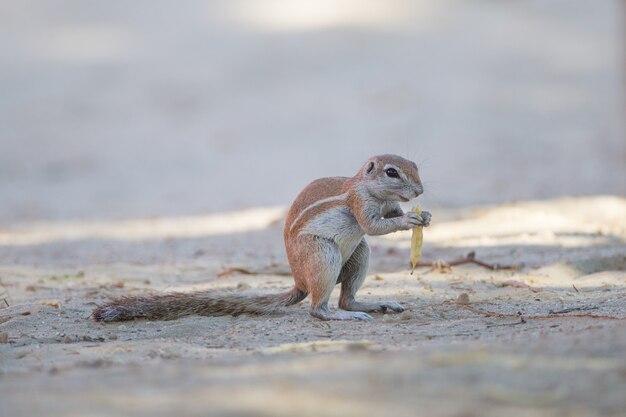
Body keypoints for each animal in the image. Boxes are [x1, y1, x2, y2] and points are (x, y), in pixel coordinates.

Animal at [91, 154, 428, 320]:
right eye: (392, 172)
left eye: (415, 166)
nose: (420, 191)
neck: (369, 188)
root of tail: (300, 281)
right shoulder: (359, 203)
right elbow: (372, 226)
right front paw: (409, 219)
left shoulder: (385, 206)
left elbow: (386, 217)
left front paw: (423, 216)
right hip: (323, 255)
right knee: (319, 310)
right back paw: (342, 316)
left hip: (358, 255)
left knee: (347, 299)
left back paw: (374, 306)